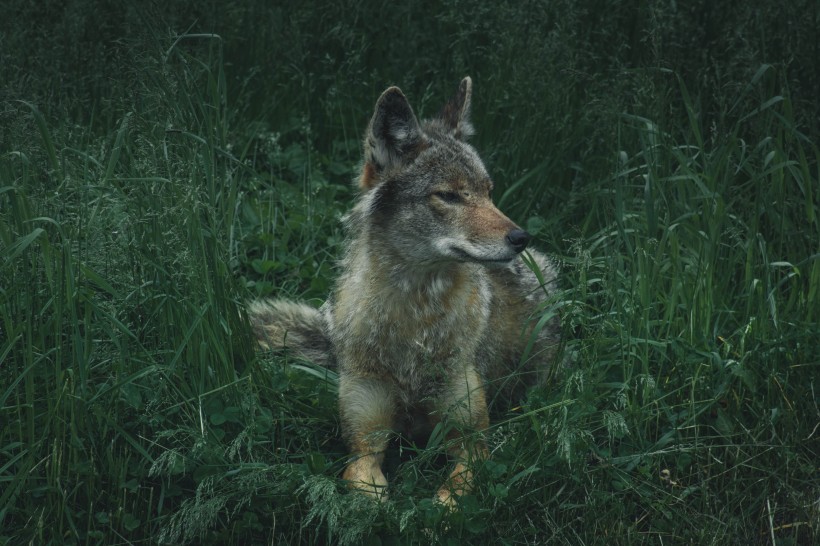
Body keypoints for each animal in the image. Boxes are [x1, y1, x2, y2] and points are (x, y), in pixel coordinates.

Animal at [247, 76, 560, 506]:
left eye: (488, 192)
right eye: (448, 195)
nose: (521, 238)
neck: (415, 320)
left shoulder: (473, 444)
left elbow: (448, 500)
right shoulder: (363, 445)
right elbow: (371, 495)